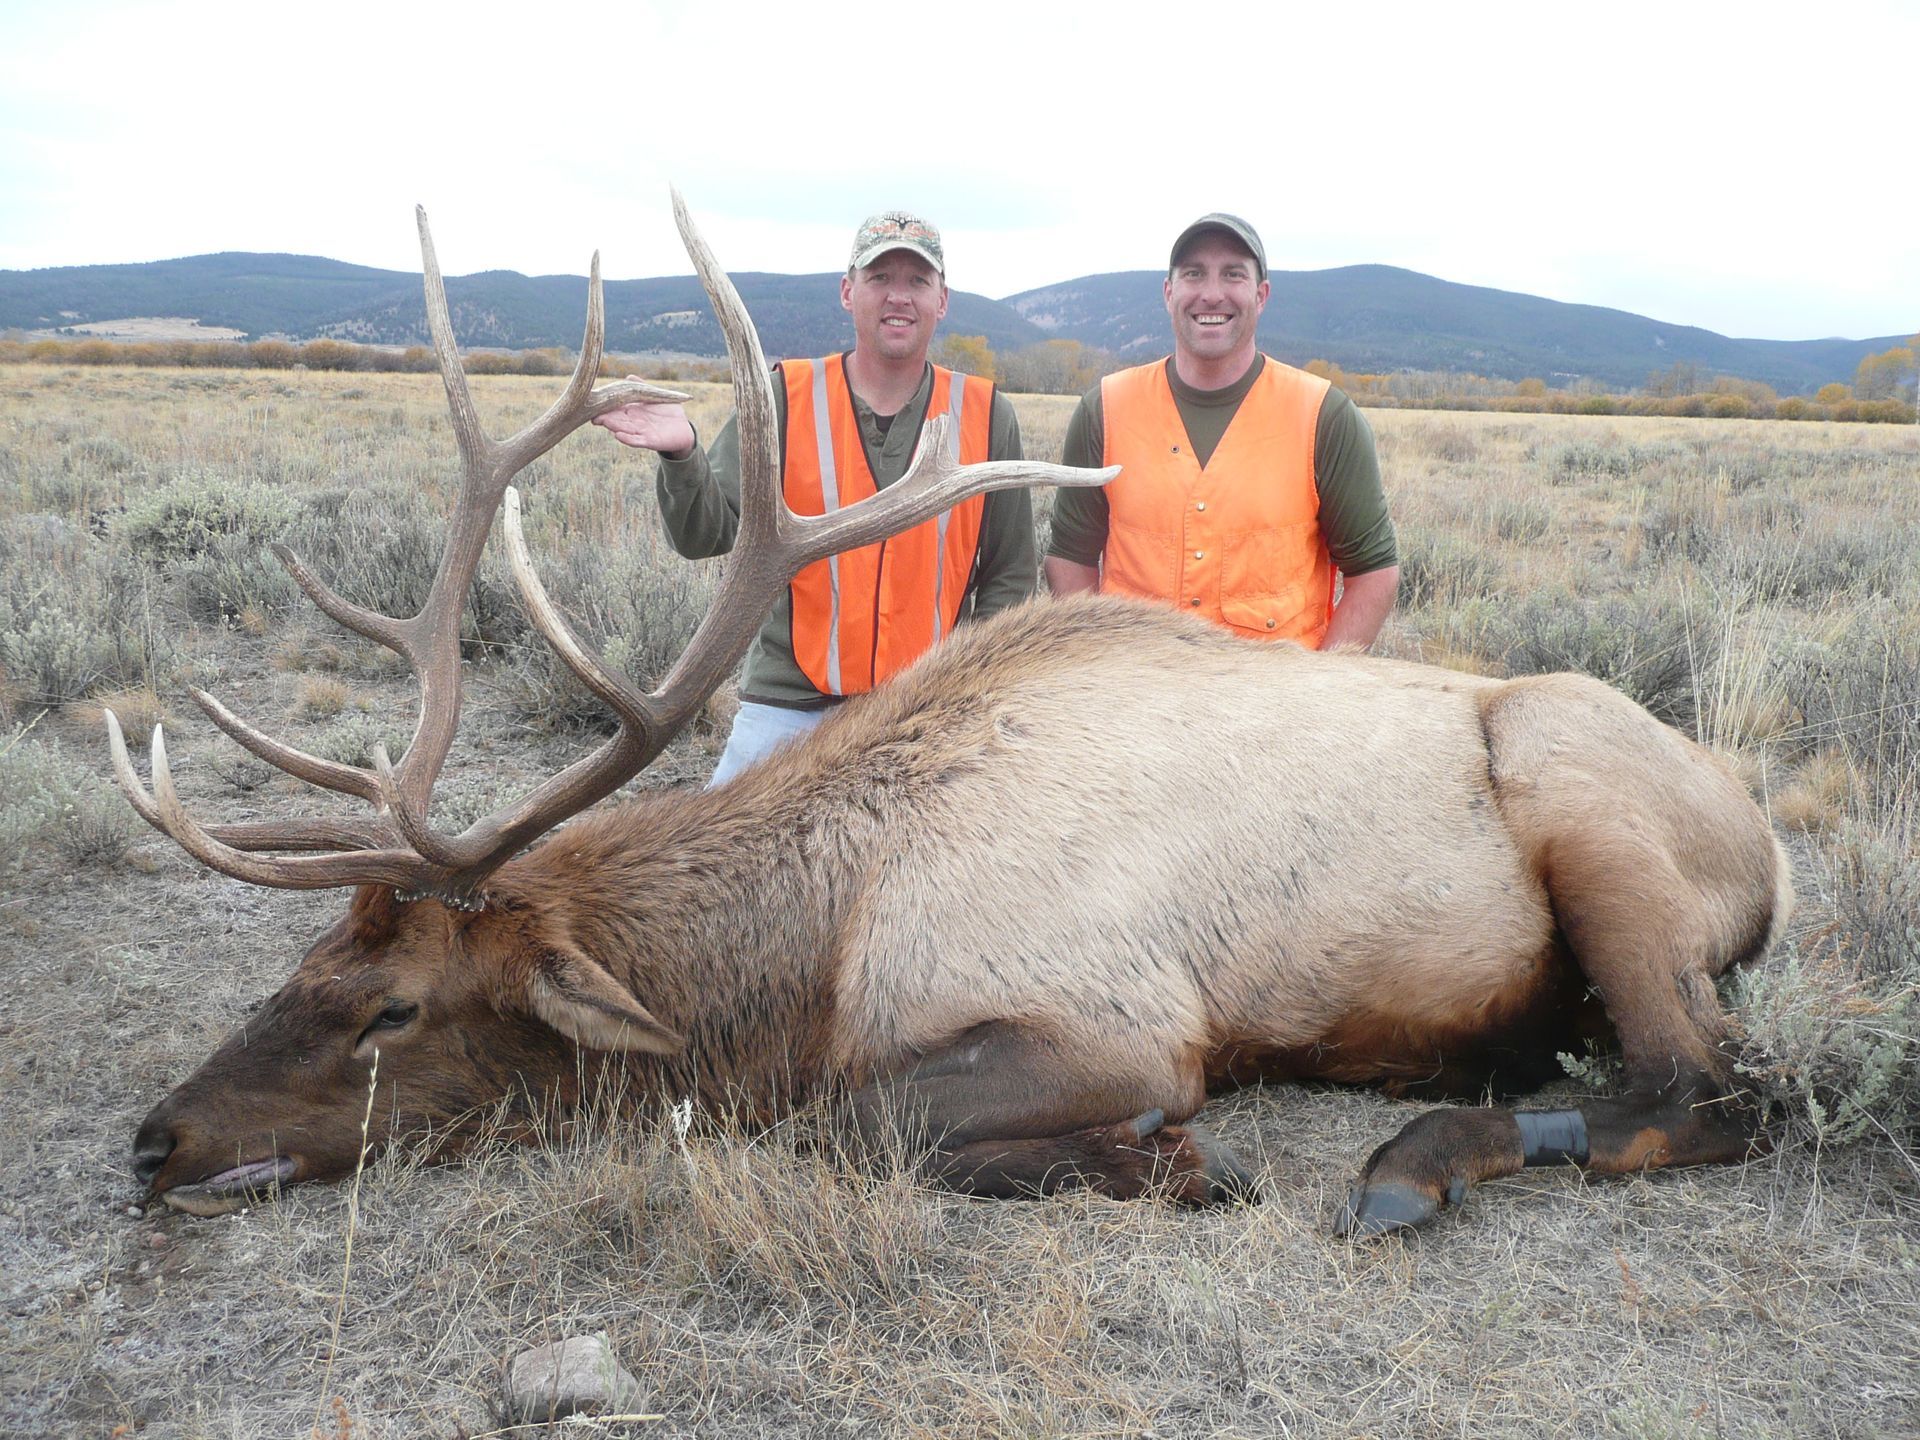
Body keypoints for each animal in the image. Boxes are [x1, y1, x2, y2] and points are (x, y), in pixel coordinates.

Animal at [112, 194, 1794, 1237]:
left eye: (396, 1010)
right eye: (306, 963)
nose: (154, 1136)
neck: (814, 952)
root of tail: (1771, 856)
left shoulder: (1121, 1019)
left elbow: (853, 1123)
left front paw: (1171, 1162)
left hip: (1585, 797)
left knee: (1725, 1091)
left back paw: (1413, 1163)